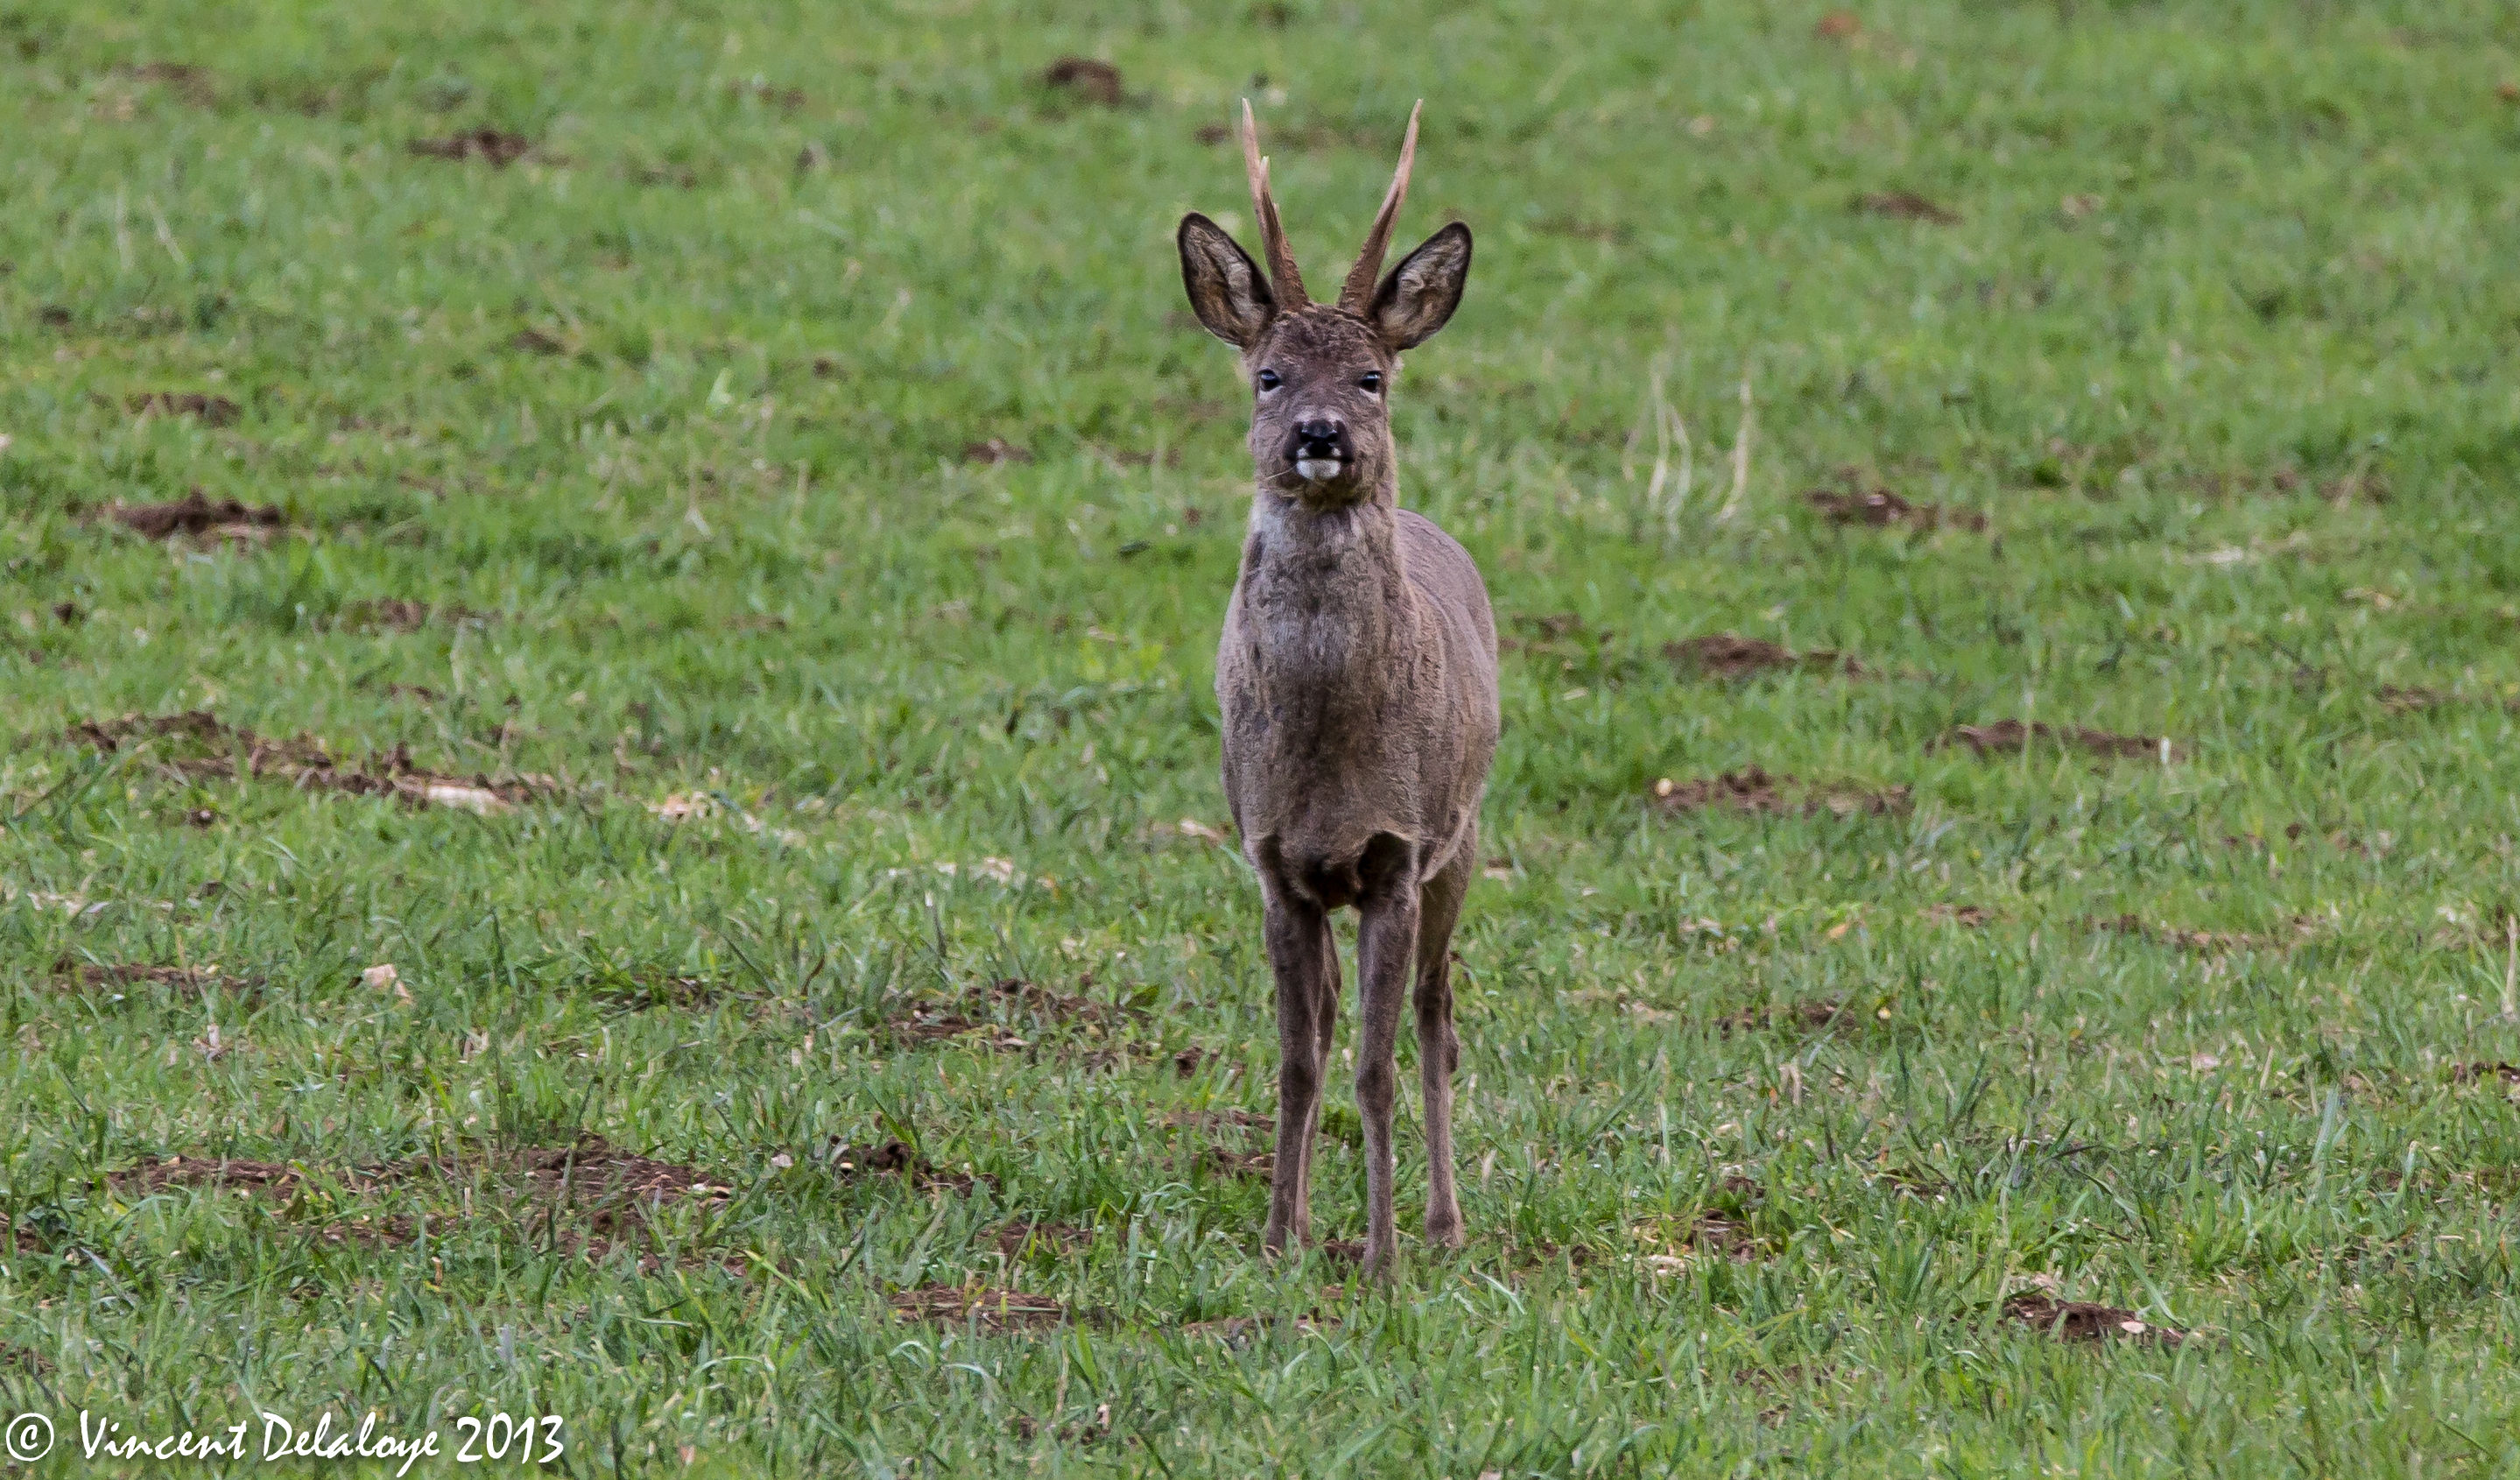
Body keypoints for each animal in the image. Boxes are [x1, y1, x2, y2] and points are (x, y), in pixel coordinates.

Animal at [1175, 101, 1500, 1279]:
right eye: (1268, 375)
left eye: (1372, 378)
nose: (1321, 436)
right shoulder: (1272, 858)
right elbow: (1299, 1058)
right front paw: (1283, 1234)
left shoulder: (1398, 853)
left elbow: (1375, 1063)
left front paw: (1382, 1255)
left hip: (1468, 835)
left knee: (1439, 1018)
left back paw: (1445, 1224)